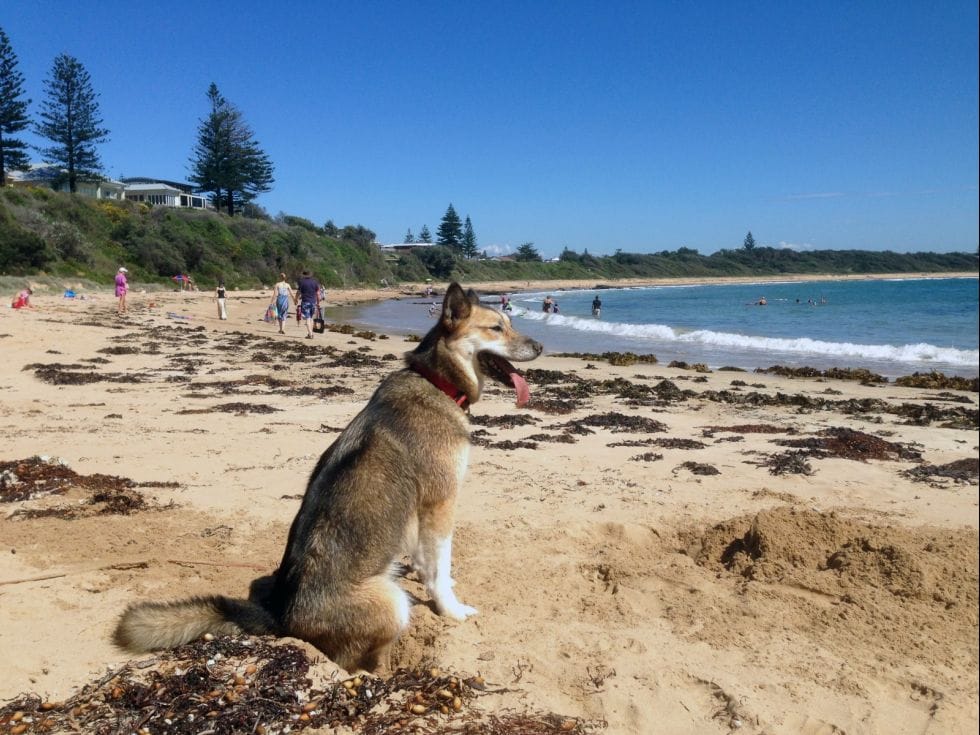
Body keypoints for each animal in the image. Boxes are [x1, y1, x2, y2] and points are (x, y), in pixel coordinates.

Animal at [117, 286, 544, 672]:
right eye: (496, 328)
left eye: (510, 323)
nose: (541, 345)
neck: (435, 381)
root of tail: (282, 617)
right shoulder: (441, 502)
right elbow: (440, 564)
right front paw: (451, 608)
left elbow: (429, 562)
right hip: (391, 602)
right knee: (355, 663)